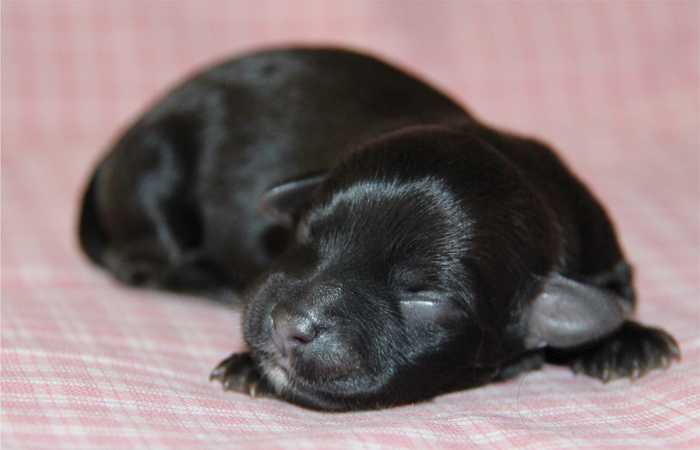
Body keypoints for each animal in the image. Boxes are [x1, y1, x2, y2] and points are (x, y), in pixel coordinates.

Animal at [79, 47, 680, 411]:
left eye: (424, 299)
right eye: (306, 234)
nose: (288, 324)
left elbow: (614, 297)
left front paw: (628, 339)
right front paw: (249, 365)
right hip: (156, 168)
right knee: (143, 261)